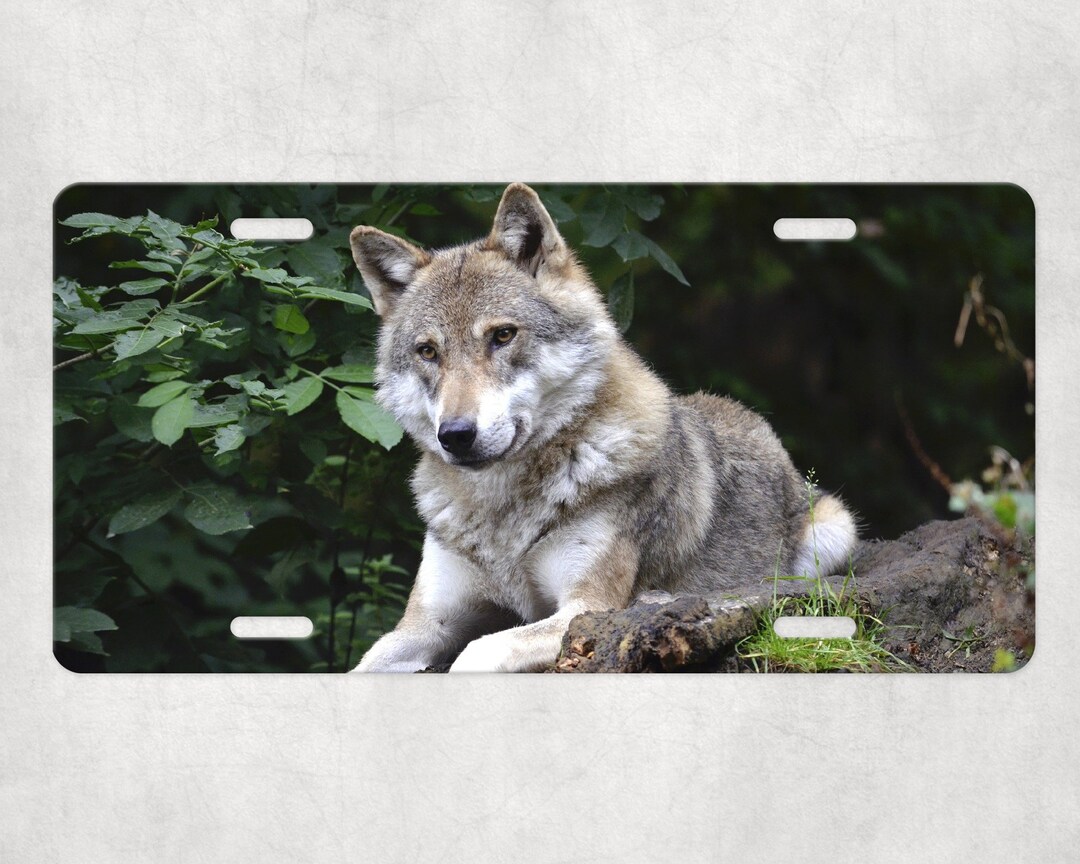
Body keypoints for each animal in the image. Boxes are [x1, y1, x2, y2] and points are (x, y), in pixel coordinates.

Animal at [349, 183, 857, 672]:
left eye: (503, 335)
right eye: (428, 352)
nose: (455, 435)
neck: (502, 512)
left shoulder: (586, 609)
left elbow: (476, 653)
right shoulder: (424, 625)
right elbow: (364, 664)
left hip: (832, 535)